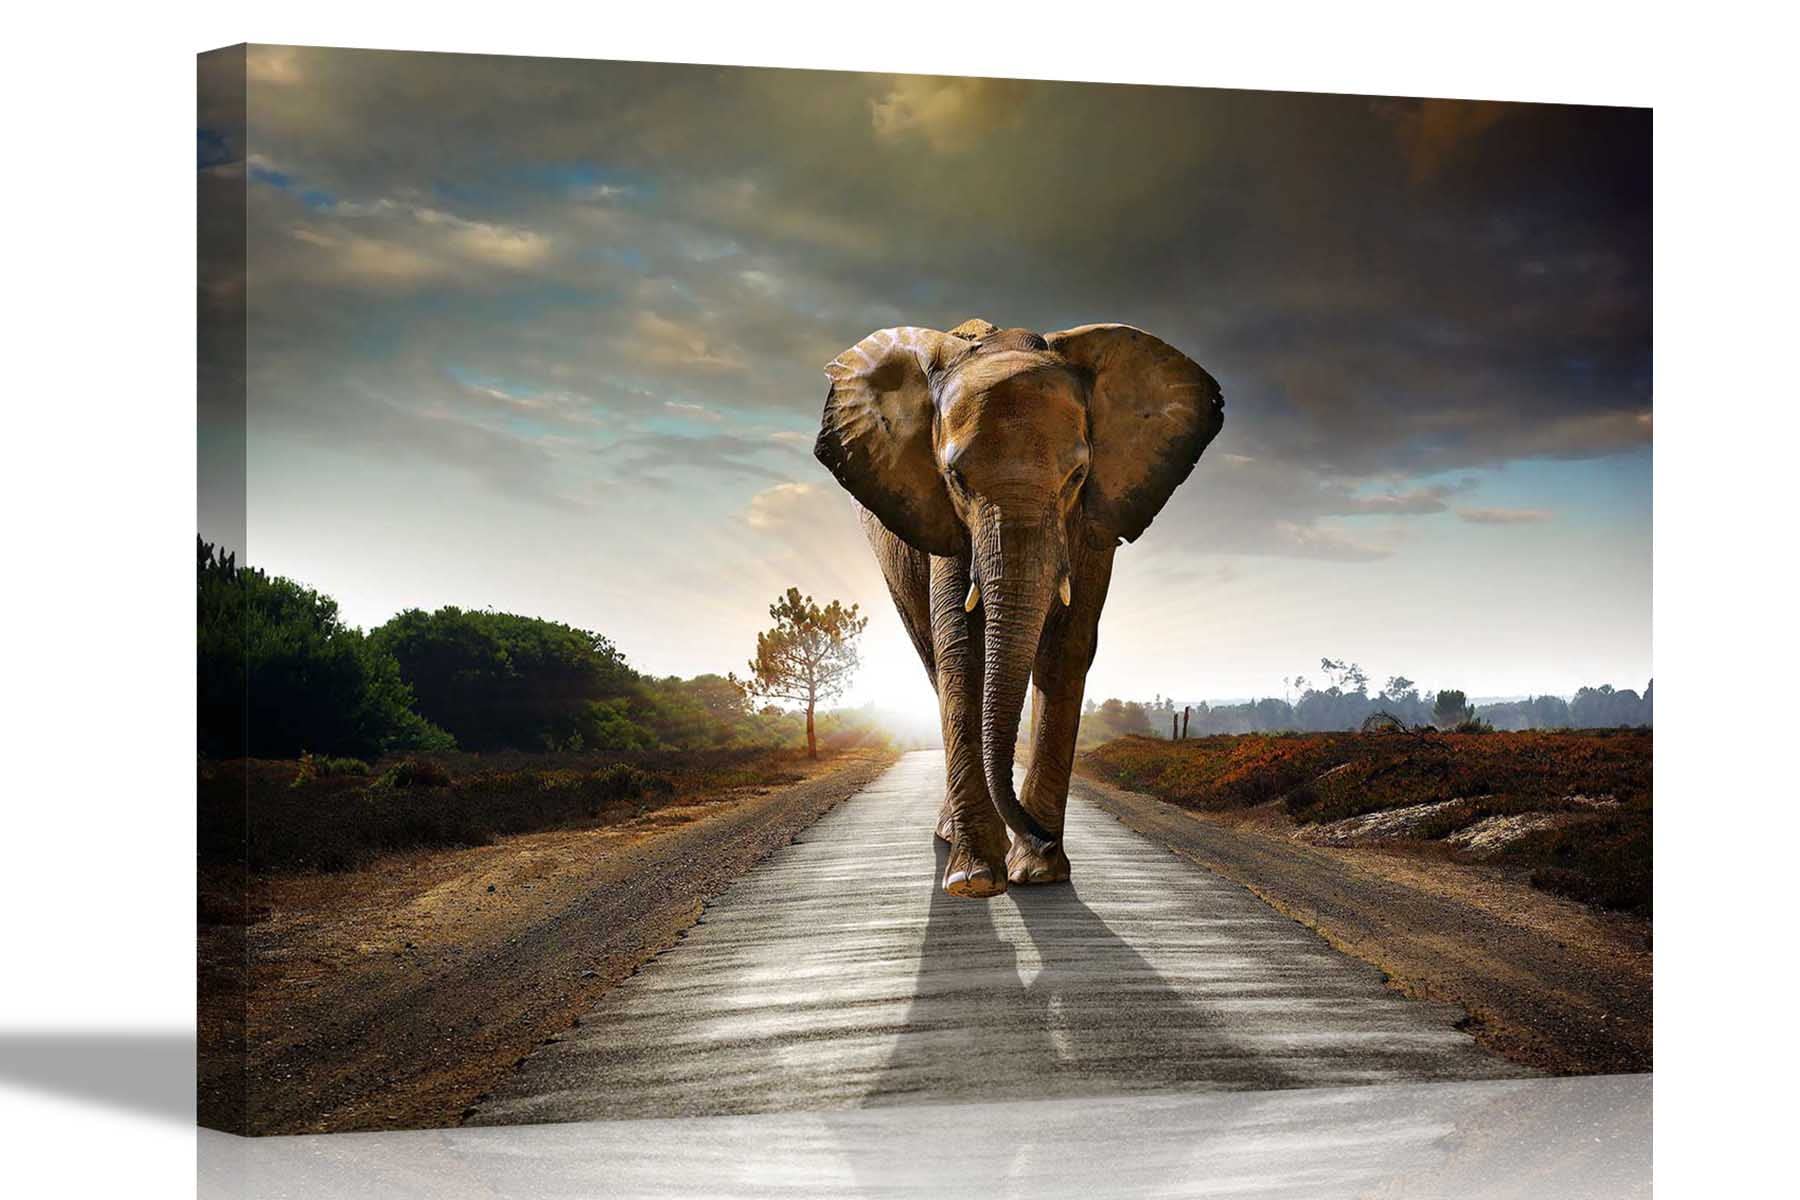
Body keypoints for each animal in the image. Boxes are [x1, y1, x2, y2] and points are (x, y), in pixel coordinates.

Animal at [813, 318, 1224, 898]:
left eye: (1077, 477)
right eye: (956, 479)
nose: (1043, 838)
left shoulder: (1094, 520)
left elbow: (1068, 648)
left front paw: (1039, 873)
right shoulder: (943, 520)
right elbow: (962, 649)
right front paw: (976, 880)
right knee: (932, 657)